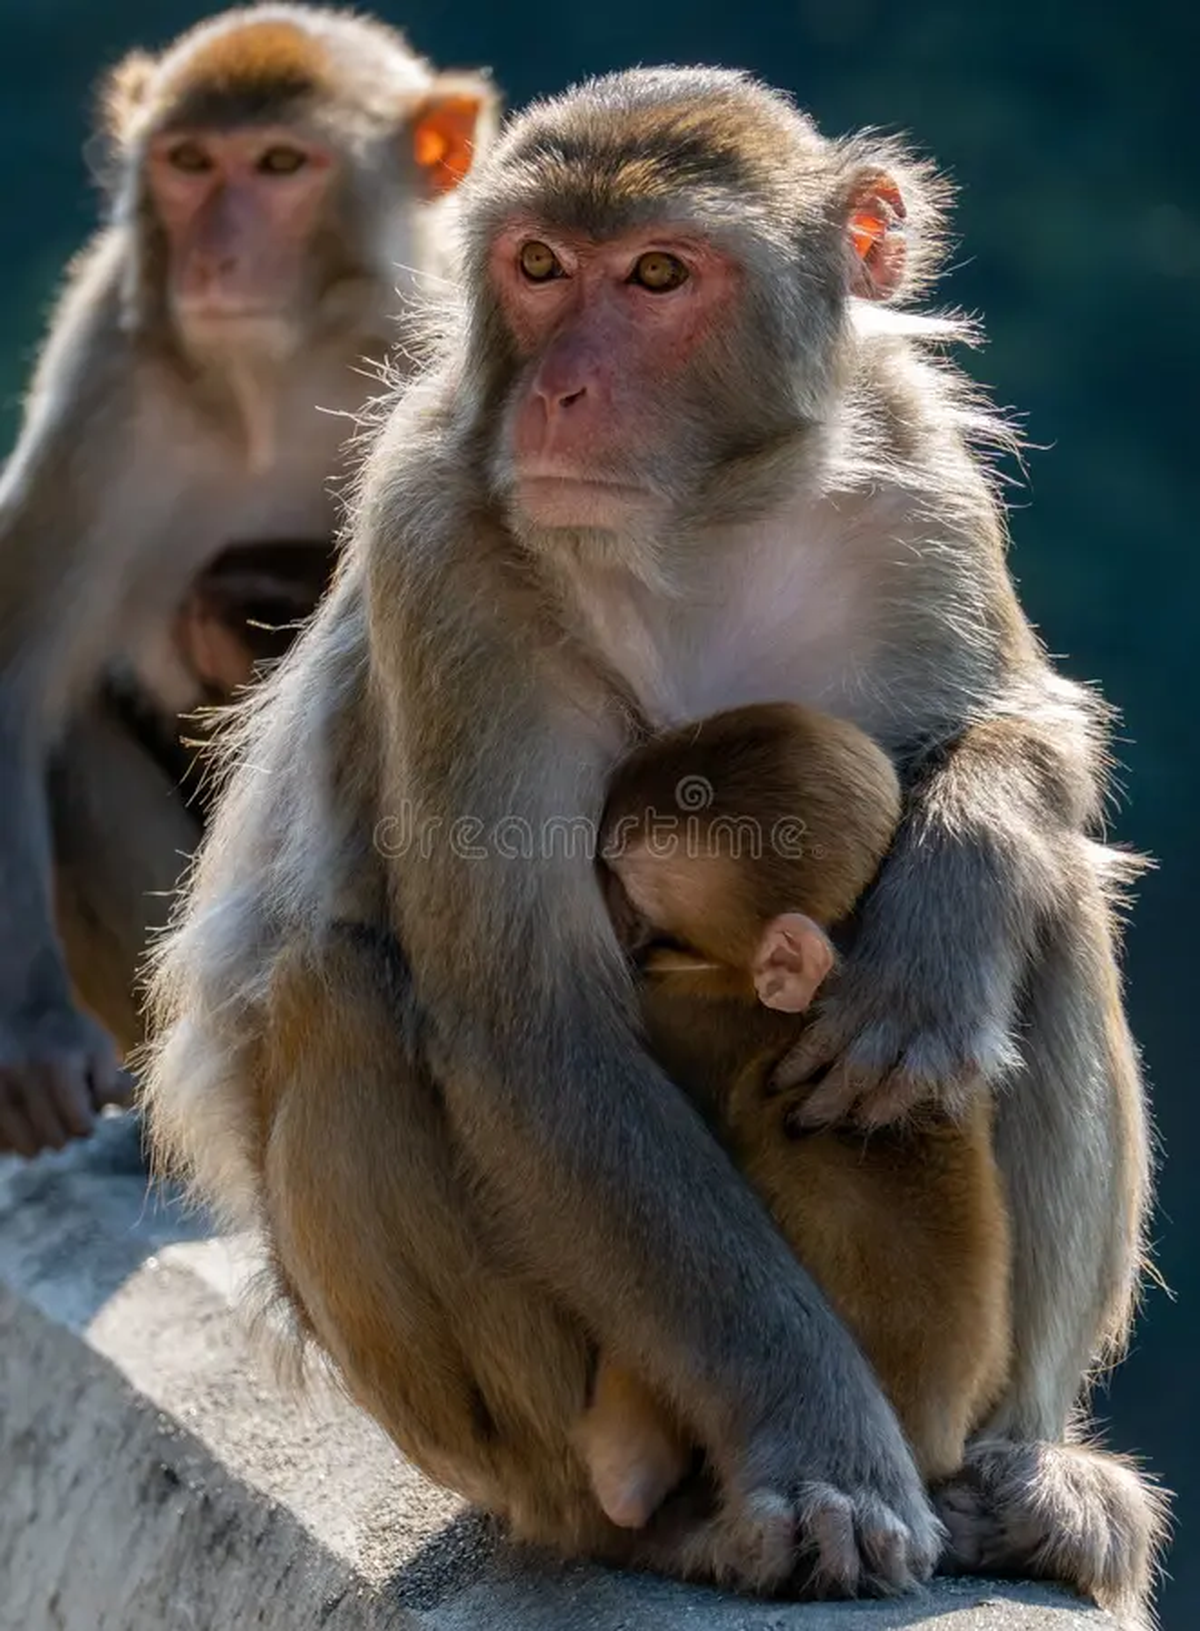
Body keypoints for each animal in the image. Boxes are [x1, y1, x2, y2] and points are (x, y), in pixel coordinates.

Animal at [0, 4, 498, 1156]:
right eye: (189, 164)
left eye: (280, 165)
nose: (218, 255)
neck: (270, 372)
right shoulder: (104, 375)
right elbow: (16, 687)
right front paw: (37, 1039)